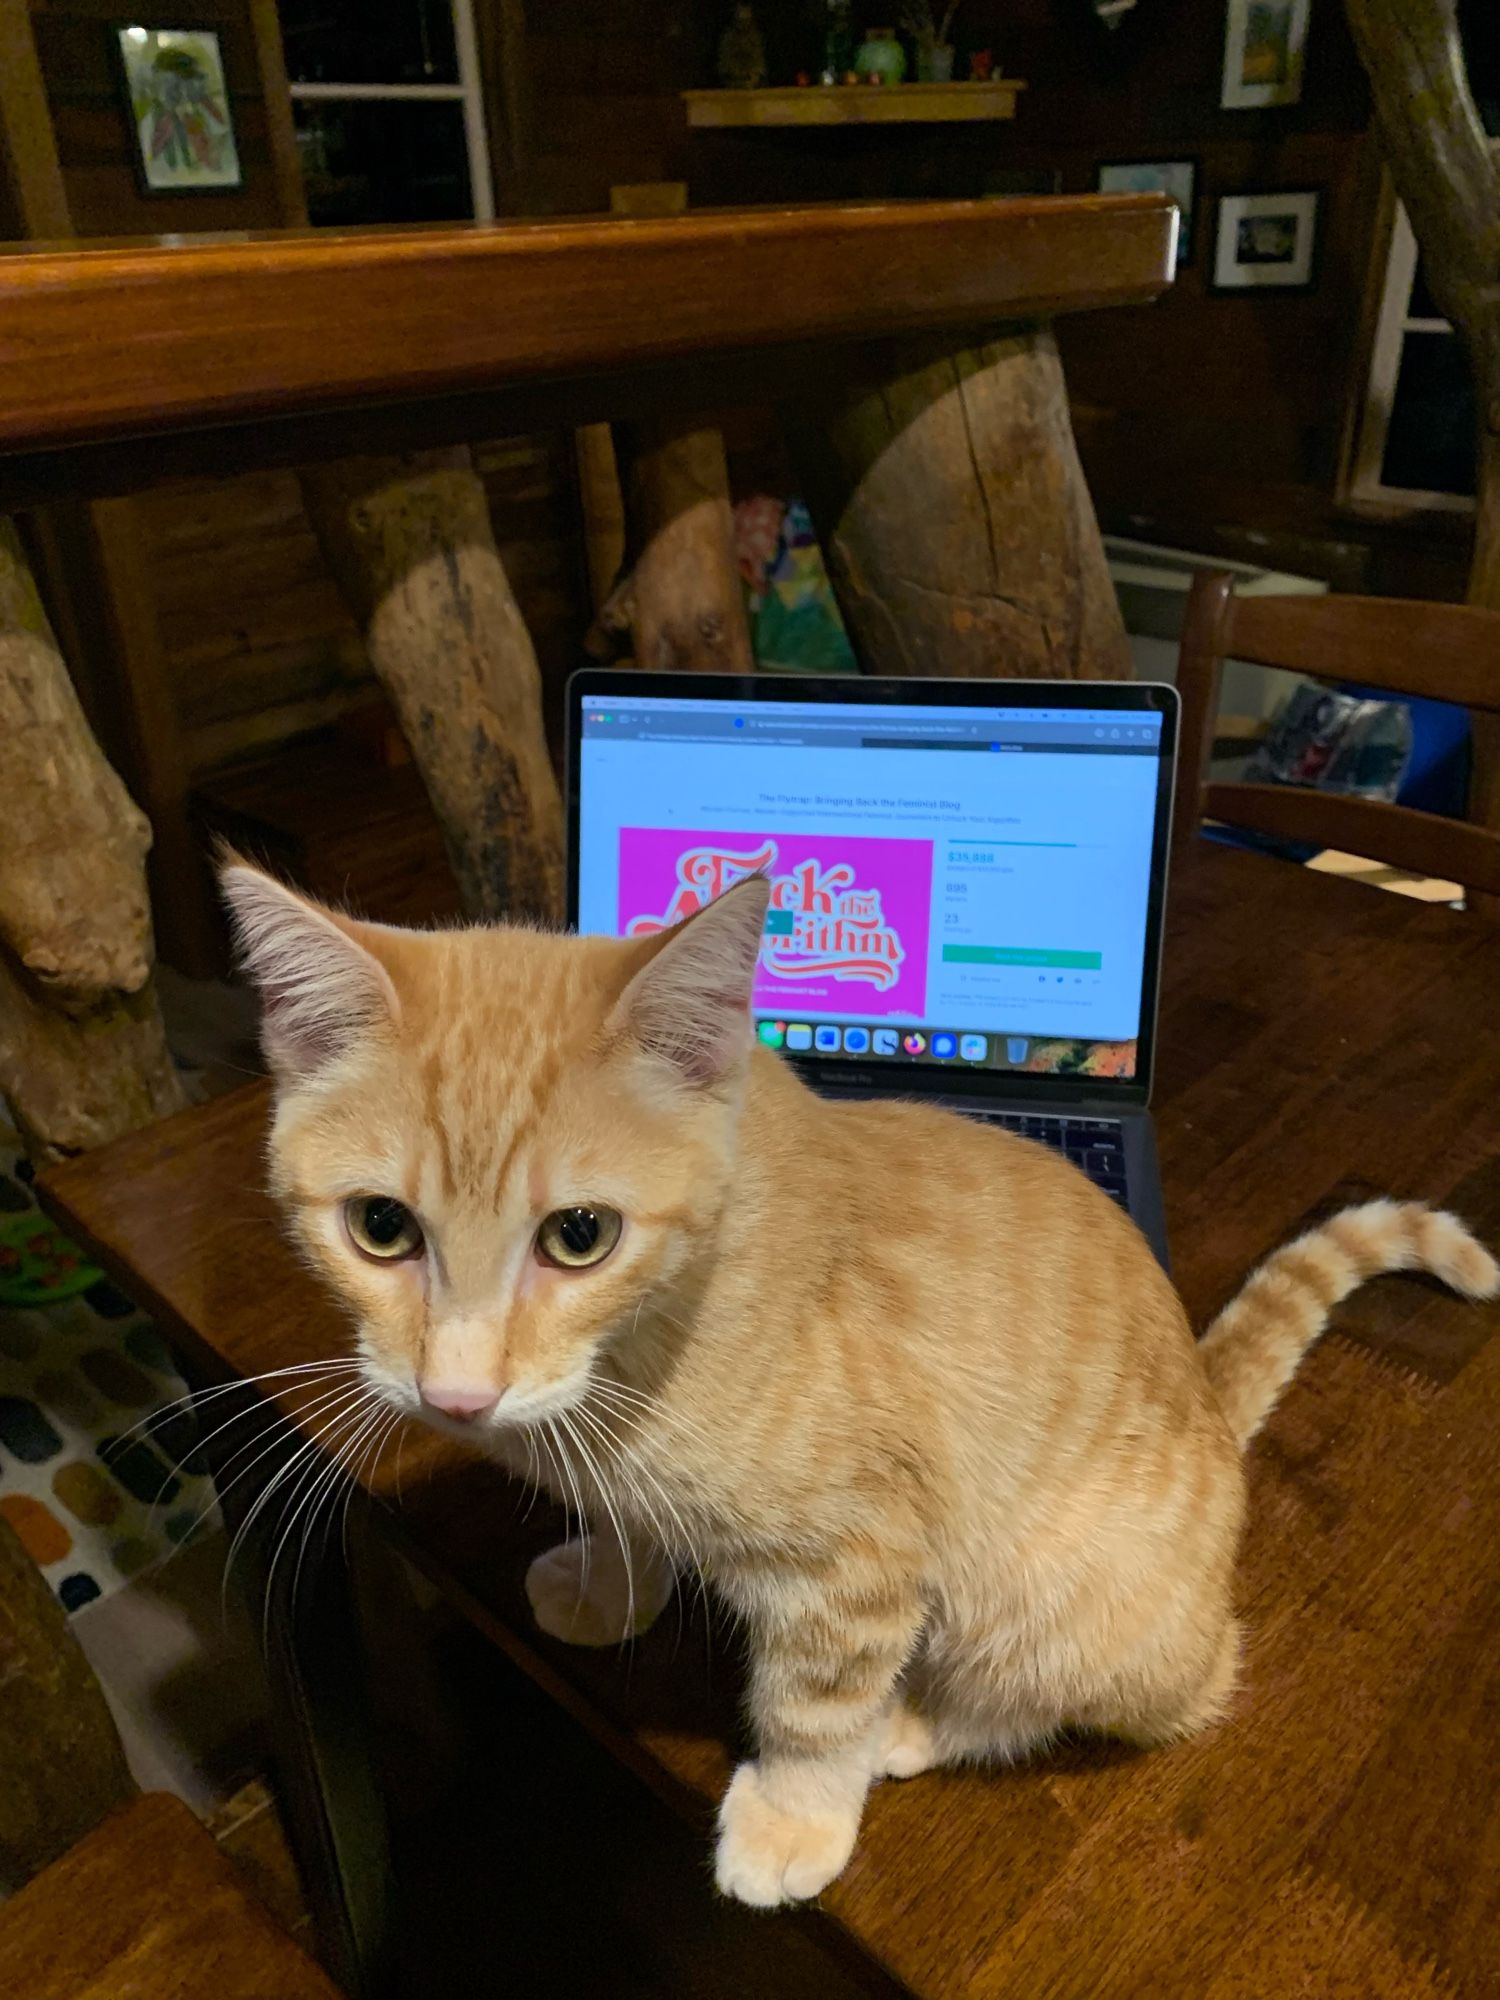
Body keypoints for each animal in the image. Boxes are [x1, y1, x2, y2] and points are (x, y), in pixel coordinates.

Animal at [217, 860, 1496, 1904]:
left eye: (580, 1235)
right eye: (381, 1226)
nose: (456, 1395)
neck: (648, 1345)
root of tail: (1211, 1404)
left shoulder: (862, 1548)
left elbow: (816, 1696)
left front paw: (797, 1811)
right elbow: (629, 1518)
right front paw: (608, 1577)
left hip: (1069, 1600)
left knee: (1120, 1689)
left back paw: (920, 1720)